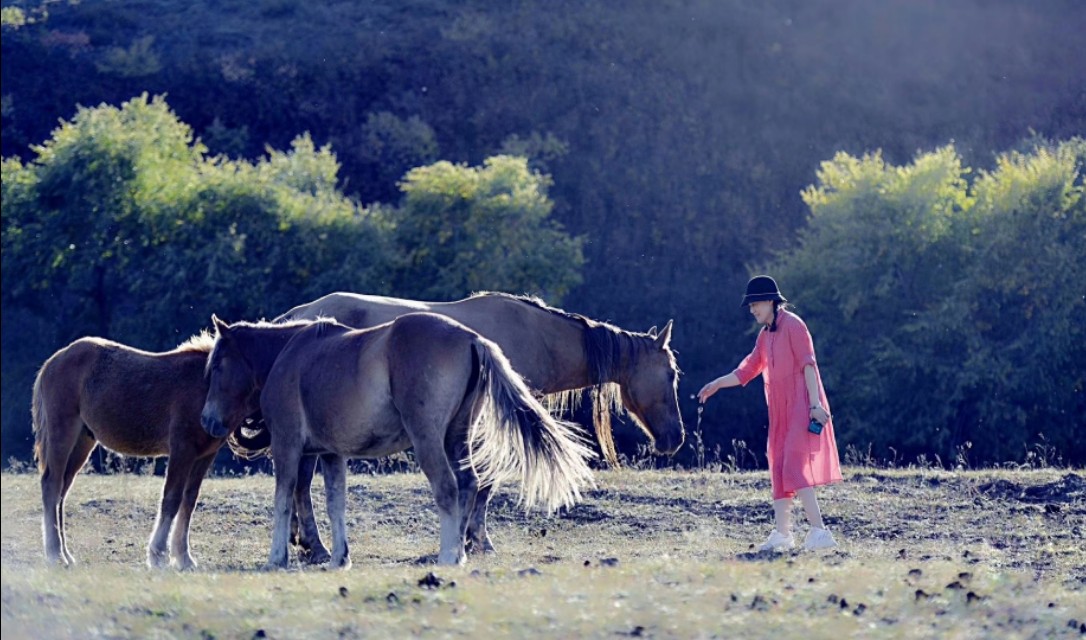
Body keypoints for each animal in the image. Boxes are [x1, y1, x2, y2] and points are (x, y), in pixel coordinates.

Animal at [31, 332, 223, 565]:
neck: (205, 382)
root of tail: (52, 362)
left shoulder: (205, 455)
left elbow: (189, 499)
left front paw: (184, 558)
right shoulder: (182, 449)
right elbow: (172, 499)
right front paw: (160, 557)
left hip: (82, 441)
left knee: (63, 488)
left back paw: (66, 554)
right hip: (63, 433)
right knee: (52, 484)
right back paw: (55, 555)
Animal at [201, 312, 595, 565]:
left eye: (217, 364)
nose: (207, 420)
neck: (291, 356)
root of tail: (472, 339)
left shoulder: (287, 448)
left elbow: (283, 500)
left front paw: (277, 557)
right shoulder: (331, 454)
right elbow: (335, 503)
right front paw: (339, 556)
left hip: (428, 441)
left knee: (448, 487)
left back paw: (449, 555)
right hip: (456, 438)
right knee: (468, 484)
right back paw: (460, 547)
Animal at [267, 289, 682, 560]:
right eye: (671, 374)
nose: (674, 438)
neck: (538, 336)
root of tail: (294, 318)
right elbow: (485, 484)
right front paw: (476, 540)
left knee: (300, 482)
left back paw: (305, 542)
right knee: (300, 482)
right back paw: (313, 545)